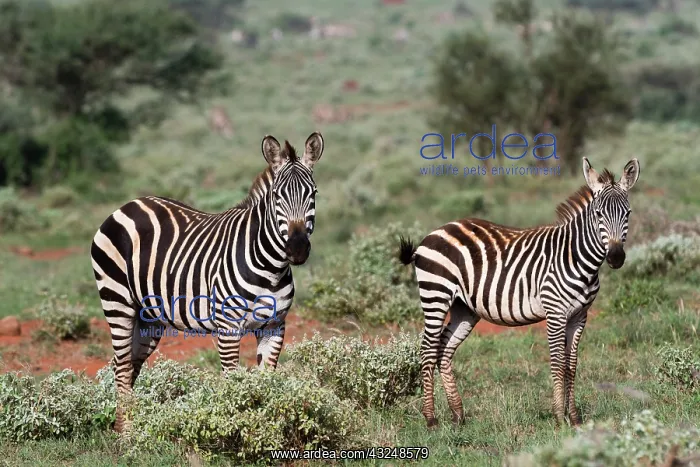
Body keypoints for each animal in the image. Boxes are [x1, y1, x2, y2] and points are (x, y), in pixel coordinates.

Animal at [91, 132, 324, 432]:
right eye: (276, 196)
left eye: (313, 194)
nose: (297, 249)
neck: (271, 268)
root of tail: (127, 205)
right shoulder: (227, 327)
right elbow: (232, 383)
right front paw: (235, 434)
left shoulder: (274, 326)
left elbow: (266, 381)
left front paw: (265, 431)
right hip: (117, 301)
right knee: (121, 367)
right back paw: (126, 434)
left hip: (148, 317)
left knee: (128, 365)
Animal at [398, 157, 640, 429]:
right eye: (598, 214)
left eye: (628, 213)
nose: (616, 257)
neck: (577, 258)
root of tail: (436, 231)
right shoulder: (555, 313)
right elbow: (558, 363)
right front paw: (560, 417)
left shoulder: (580, 316)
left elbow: (572, 365)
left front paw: (575, 417)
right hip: (436, 295)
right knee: (428, 350)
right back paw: (430, 418)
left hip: (464, 308)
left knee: (444, 350)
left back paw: (458, 414)